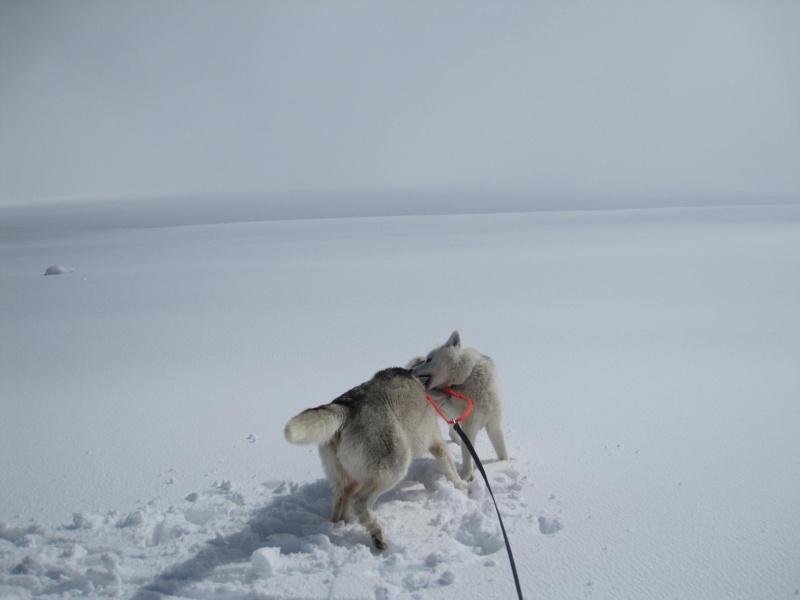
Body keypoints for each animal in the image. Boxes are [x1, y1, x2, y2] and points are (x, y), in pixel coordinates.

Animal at [286, 366, 462, 548]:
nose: (452, 392)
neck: (419, 383)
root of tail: (345, 407)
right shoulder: (438, 444)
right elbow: (452, 473)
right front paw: (464, 491)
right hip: (395, 467)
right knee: (359, 502)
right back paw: (379, 535)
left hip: (348, 481)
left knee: (340, 507)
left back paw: (342, 526)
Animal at [410, 330, 510, 480]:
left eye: (429, 359)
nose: (411, 370)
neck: (467, 377)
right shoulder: (469, 427)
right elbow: (468, 457)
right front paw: (467, 477)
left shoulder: (494, 425)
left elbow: (502, 451)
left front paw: (504, 464)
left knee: (452, 432)